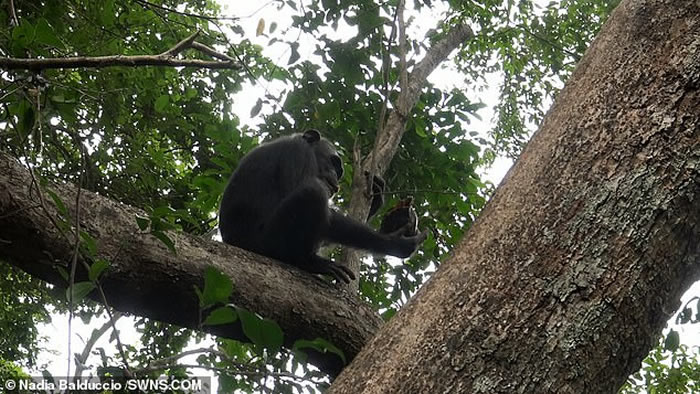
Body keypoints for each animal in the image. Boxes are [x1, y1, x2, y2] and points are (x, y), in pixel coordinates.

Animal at [220, 130, 426, 284]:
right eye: (334, 163)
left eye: (339, 171)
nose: (335, 177)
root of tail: (231, 241)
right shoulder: (297, 152)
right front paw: (393, 241)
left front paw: (382, 205)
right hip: (264, 243)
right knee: (313, 191)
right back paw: (306, 261)